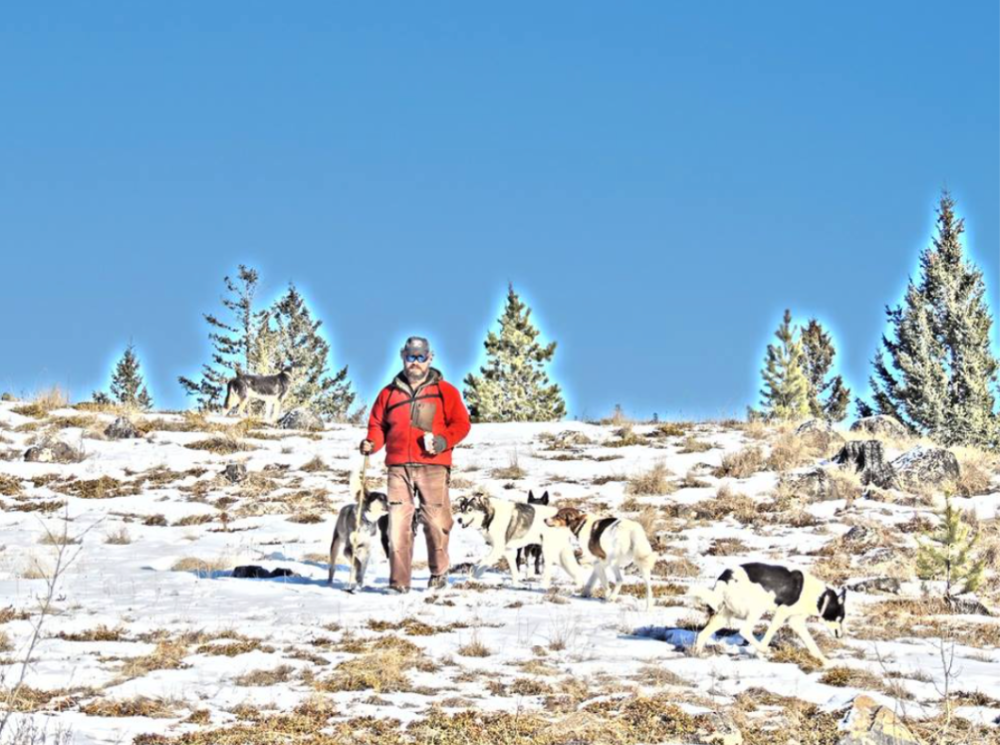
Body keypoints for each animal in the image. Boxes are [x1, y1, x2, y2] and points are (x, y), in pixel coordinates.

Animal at [454, 492, 584, 588]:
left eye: (470, 509)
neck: (492, 516)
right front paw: (515, 585)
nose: (458, 520)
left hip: (548, 551)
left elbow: (481, 565)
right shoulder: (508, 550)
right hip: (561, 553)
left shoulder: (498, 549)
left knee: (547, 571)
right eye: (462, 508)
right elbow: (514, 570)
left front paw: (471, 580)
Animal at [692, 560, 848, 664]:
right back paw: (765, 650)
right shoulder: (781, 614)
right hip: (757, 608)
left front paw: (824, 661)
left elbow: (811, 644)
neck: (820, 598)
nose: (841, 636)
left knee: (702, 634)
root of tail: (725, 577)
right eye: (840, 618)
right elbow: (768, 635)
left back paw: (698, 655)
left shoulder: (796, 622)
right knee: (745, 631)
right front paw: (761, 652)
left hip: (725, 615)